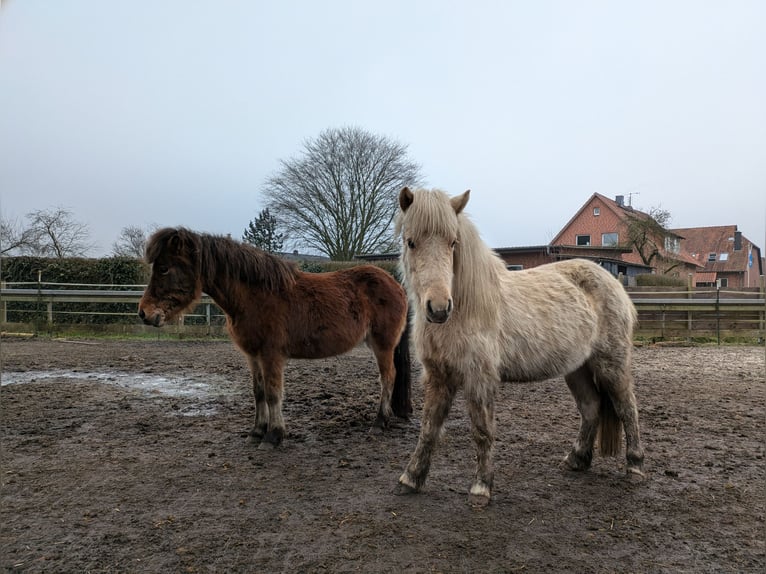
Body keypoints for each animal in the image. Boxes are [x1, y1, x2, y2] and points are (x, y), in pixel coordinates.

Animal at [138, 227, 414, 448]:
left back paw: (379, 421)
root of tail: (397, 285)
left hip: (383, 345)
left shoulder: (271, 355)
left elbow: (273, 393)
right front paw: (256, 432)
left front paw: (274, 436)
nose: (144, 313)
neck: (255, 297)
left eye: (163, 268)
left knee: (388, 378)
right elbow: (258, 392)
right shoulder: (253, 355)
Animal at [392, 187, 644, 506]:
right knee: (591, 408)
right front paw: (411, 479)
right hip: (577, 369)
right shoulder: (438, 376)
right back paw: (576, 459)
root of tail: (616, 285)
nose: (438, 308)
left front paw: (481, 488)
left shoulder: (479, 378)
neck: (465, 309)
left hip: (612, 365)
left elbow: (482, 431)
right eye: (411, 242)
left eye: (453, 243)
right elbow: (428, 429)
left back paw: (635, 466)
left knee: (627, 408)